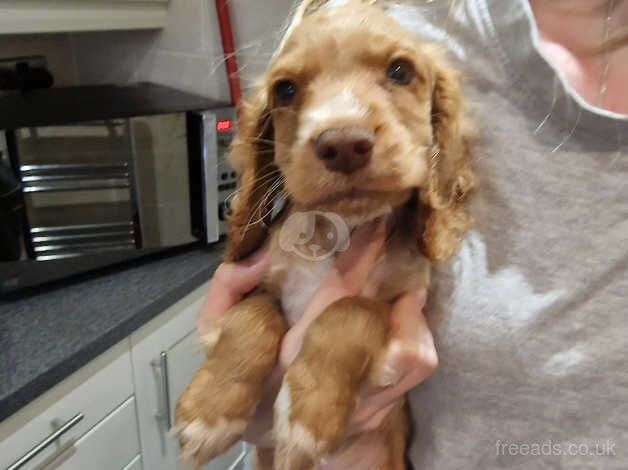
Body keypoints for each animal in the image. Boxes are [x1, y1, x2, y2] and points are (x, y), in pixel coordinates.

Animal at [174, 0, 474, 466]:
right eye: (285, 90)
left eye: (400, 71)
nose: (344, 144)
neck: (340, 232)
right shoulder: (255, 285)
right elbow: (254, 316)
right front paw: (209, 410)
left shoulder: (404, 307)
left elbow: (351, 310)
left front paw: (309, 415)